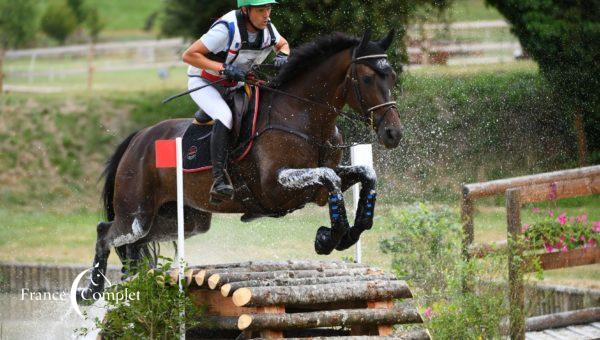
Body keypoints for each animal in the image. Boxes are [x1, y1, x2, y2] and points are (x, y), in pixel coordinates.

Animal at [79, 30, 404, 298]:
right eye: (367, 79)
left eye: (391, 78)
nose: (393, 133)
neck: (303, 115)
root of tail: (138, 139)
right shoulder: (275, 185)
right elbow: (330, 178)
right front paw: (329, 237)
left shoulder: (318, 183)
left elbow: (365, 175)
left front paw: (350, 231)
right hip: (137, 214)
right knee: (105, 232)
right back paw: (90, 292)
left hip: (184, 220)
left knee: (132, 244)